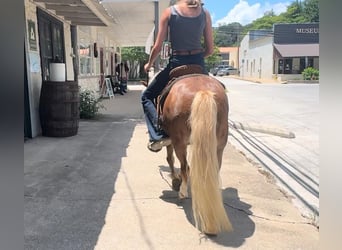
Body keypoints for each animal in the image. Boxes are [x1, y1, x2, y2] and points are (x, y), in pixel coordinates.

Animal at [157, 65, 232, 235]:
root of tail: (203, 91)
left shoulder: (172, 139)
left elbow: (170, 158)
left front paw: (175, 179)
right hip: (219, 145)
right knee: (213, 169)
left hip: (180, 142)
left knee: (185, 167)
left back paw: (183, 192)